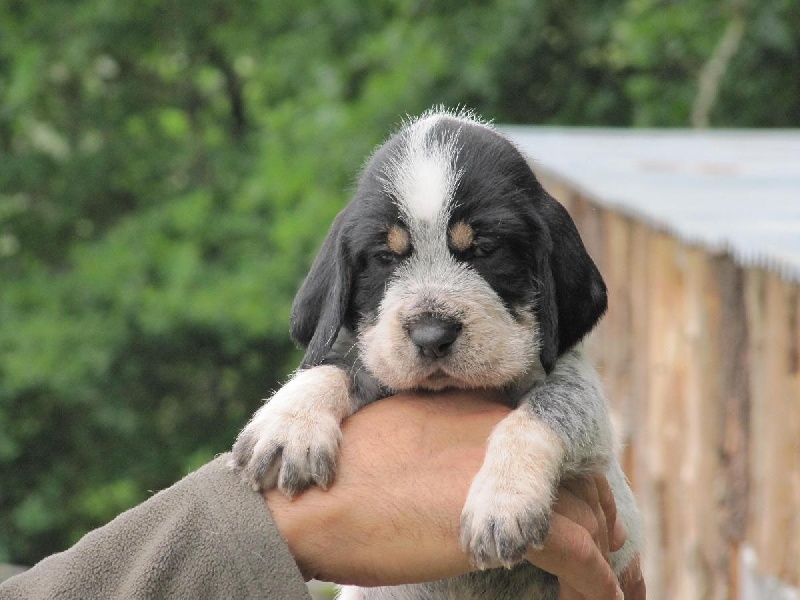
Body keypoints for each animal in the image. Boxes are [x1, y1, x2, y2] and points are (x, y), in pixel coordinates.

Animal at [228, 109, 640, 600]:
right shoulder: (375, 355)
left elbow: (542, 412)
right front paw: (290, 424)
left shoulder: (583, 402)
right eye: (385, 257)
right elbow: (335, 364)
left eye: (484, 250)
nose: (431, 335)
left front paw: (503, 499)